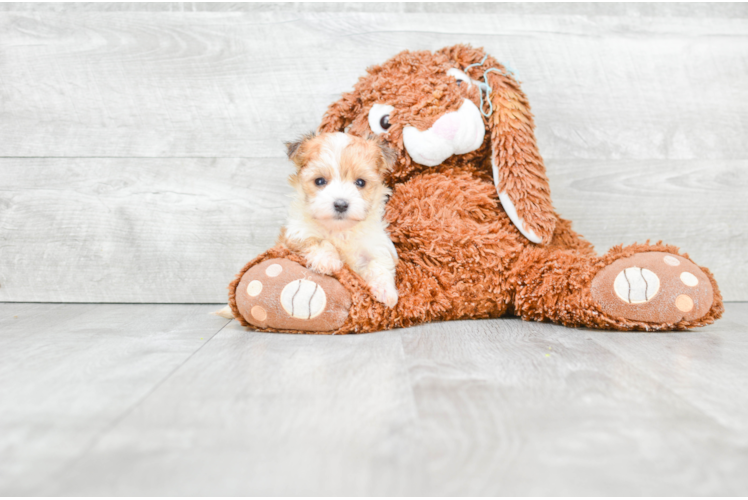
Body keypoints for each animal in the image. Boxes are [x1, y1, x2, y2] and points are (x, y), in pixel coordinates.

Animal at [280, 131, 398, 306]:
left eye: (360, 182)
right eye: (320, 181)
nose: (341, 204)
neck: (340, 230)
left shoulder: (375, 245)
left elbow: (379, 263)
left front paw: (385, 290)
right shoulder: (296, 233)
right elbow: (317, 240)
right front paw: (327, 260)